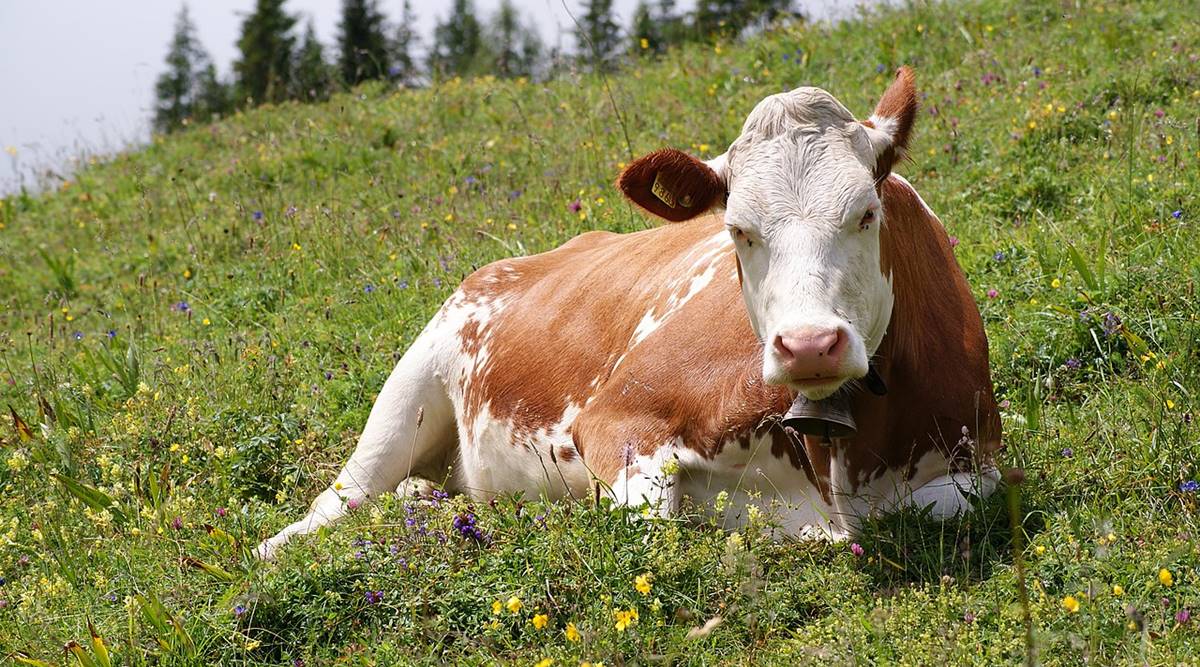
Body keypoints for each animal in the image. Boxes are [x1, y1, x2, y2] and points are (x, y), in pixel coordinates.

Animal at [257, 67, 1002, 561]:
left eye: (866, 213)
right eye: (738, 230)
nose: (809, 344)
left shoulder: (981, 461)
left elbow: (945, 504)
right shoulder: (616, 420)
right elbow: (655, 520)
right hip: (411, 385)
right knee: (341, 499)